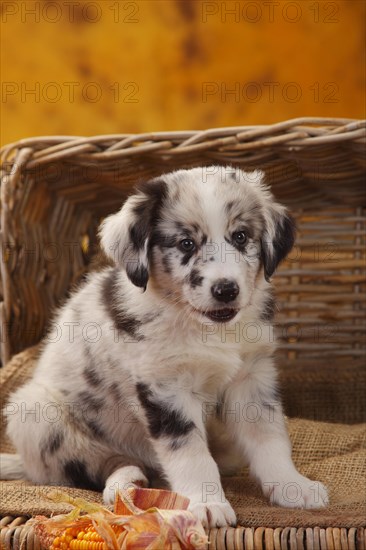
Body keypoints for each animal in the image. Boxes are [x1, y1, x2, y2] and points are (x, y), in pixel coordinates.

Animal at [2, 166, 328, 528]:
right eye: (186, 243)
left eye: (241, 237)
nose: (226, 290)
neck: (207, 329)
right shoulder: (164, 387)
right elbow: (190, 453)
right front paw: (206, 503)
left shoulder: (252, 377)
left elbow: (269, 437)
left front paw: (292, 486)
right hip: (35, 414)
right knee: (99, 465)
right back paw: (123, 483)